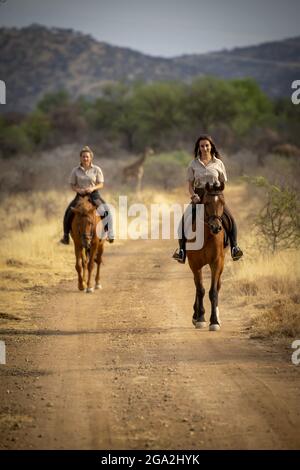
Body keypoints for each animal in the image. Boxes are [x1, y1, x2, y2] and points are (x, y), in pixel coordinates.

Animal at [186, 182, 226, 332]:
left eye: (222, 202)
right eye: (207, 203)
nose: (216, 227)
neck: (206, 235)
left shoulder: (216, 262)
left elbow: (213, 291)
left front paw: (214, 321)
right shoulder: (194, 264)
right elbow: (201, 290)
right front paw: (200, 318)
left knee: (218, 286)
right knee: (197, 286)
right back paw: (196, 315)